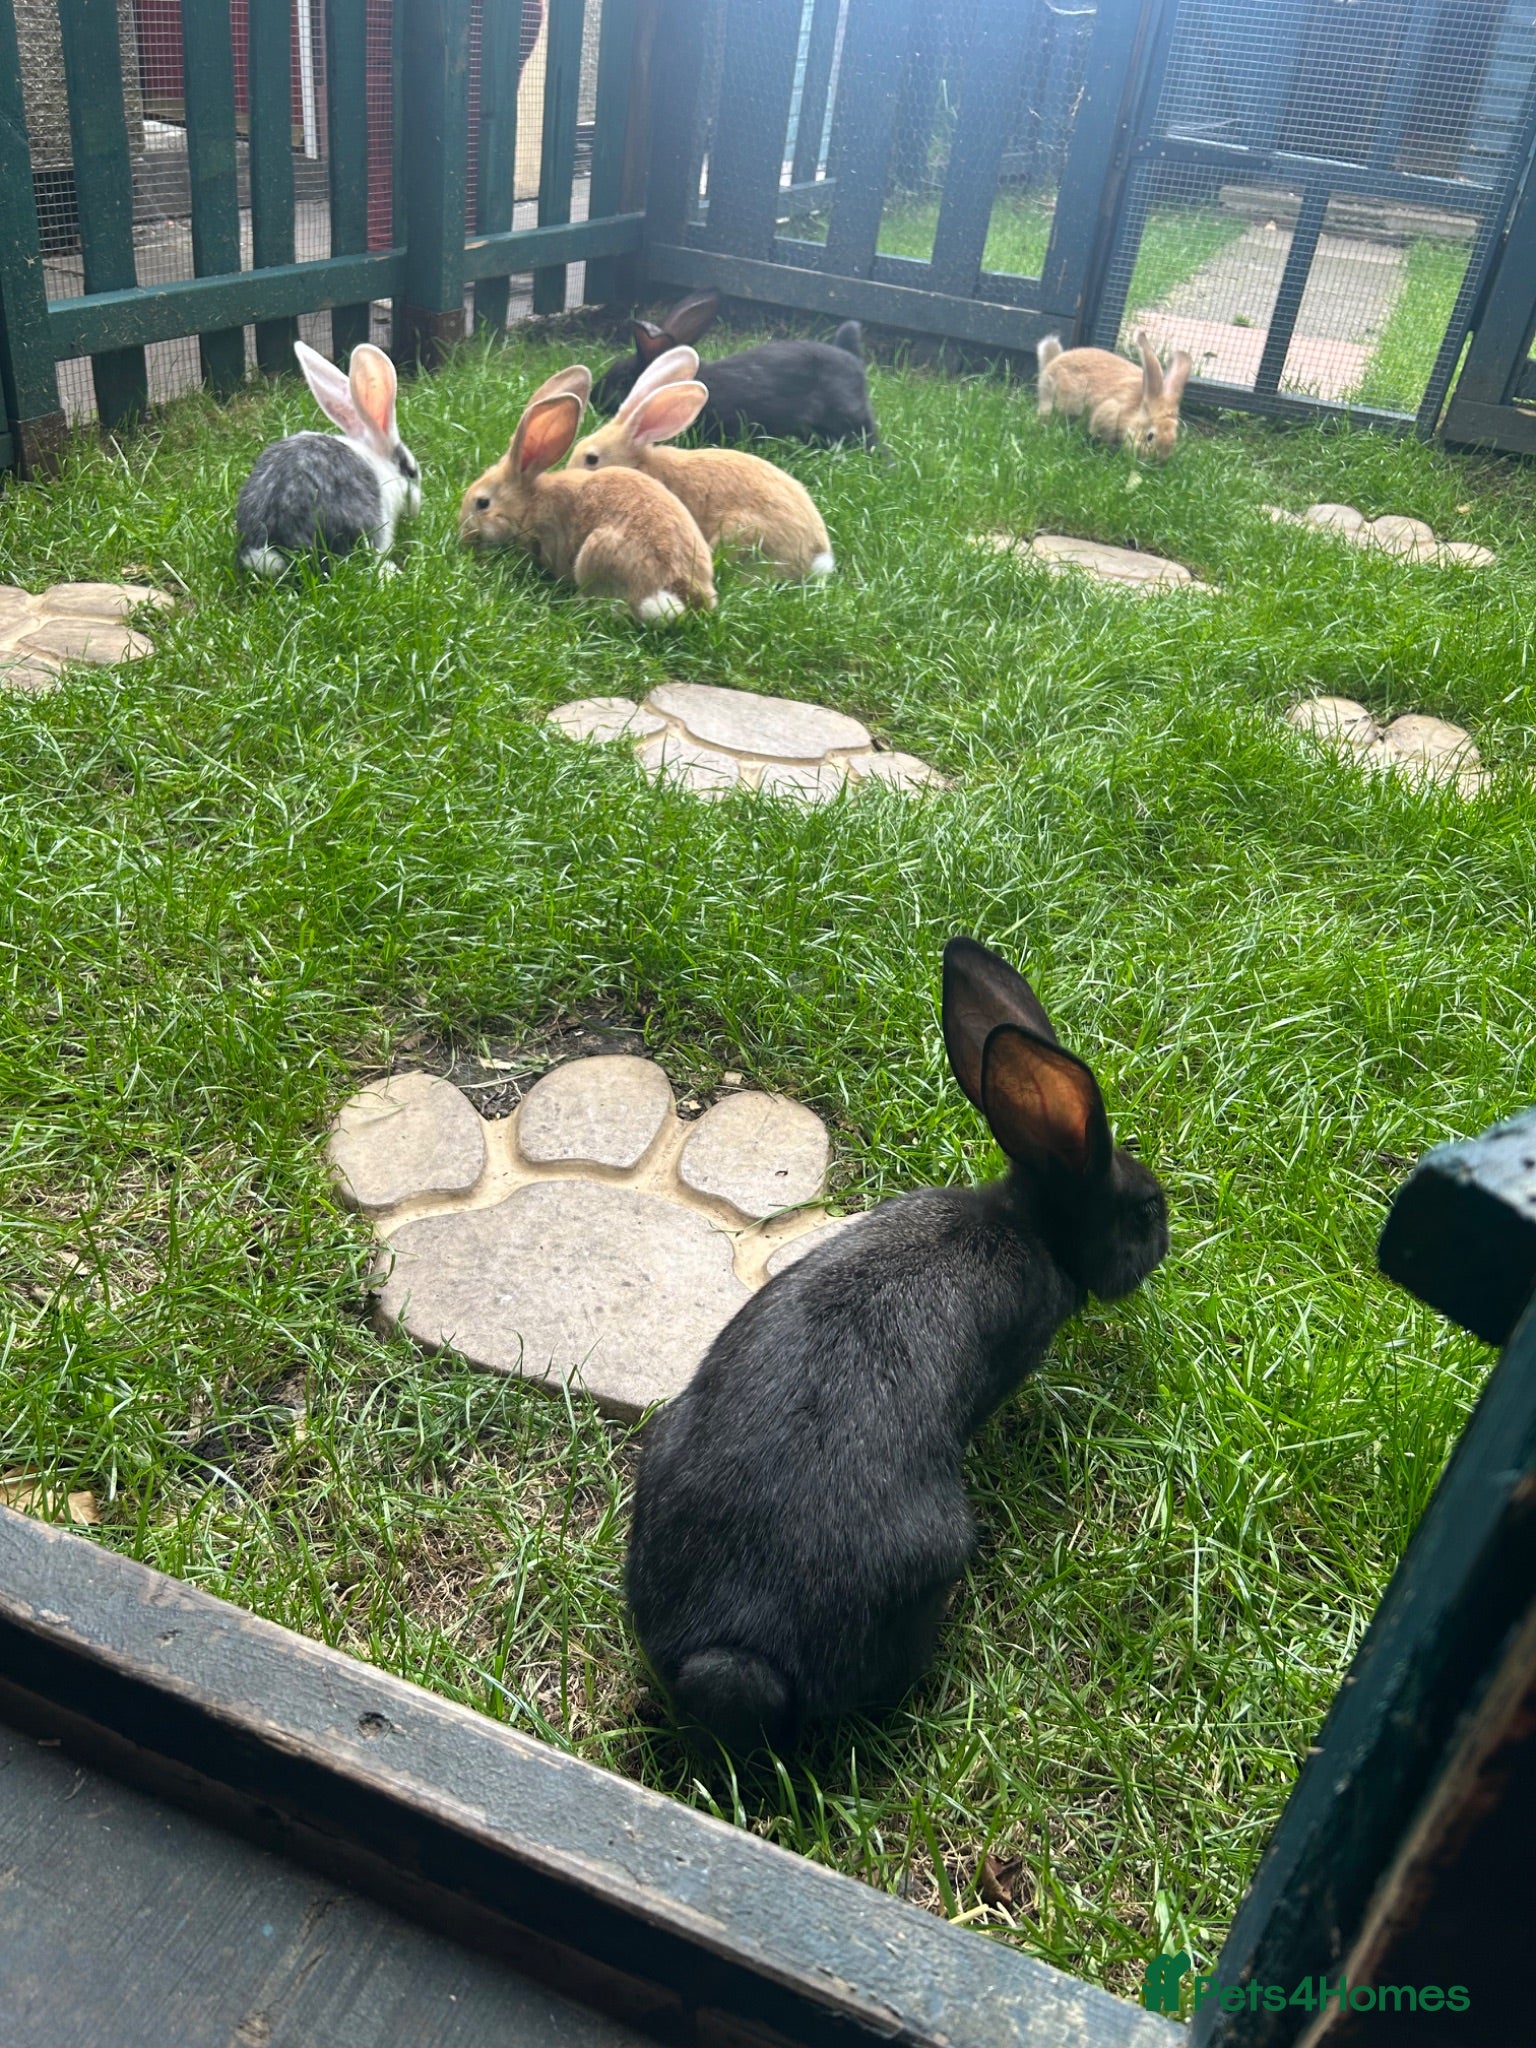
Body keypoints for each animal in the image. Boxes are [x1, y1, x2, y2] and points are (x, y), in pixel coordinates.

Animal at [1036, 329, 1192, 460]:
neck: (1134, 412)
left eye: (1174, 438)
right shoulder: (1110, 412)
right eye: (1150, 436)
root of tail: (1051, 364)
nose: (1160, 460)